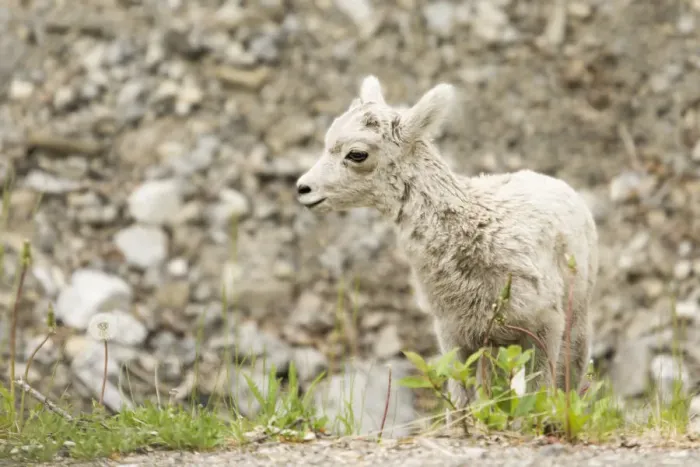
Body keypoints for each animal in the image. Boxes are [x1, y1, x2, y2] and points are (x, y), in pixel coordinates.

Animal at [295, 75, 599, 416]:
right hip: (497, 345)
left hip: (576, 315)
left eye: (357, 154)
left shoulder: (545, 328)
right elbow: (461, 404)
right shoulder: (455, 335)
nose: (303, 189)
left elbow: (539, 395)